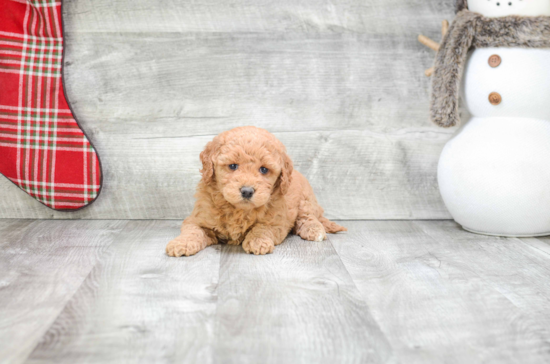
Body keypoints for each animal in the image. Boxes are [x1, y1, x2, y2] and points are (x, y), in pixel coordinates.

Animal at [166, 126, 348, 258]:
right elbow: (193, 230)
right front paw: (180, 244)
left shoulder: (276, 221)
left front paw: (257, 242)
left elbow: (262, 228)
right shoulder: (197, 219)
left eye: (264, 169)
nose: (247, 191)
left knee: (308, 217)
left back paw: (314, 230)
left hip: (306, 200)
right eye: (233, 166)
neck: (238, 210)